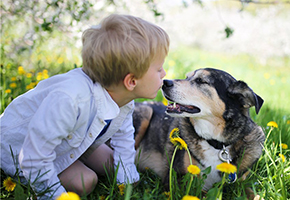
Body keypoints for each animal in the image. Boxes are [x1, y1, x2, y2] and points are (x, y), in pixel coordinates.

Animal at [134, 67, 266, 198]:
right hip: (145, 112)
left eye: (201, 81)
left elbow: (256, 195)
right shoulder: (176, 180)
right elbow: (202, 195)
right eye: (187, 77)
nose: (164, 82)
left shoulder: (240, 183)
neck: (216, 144)